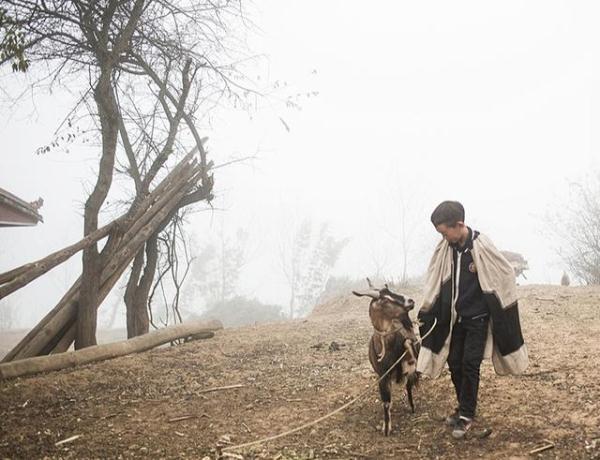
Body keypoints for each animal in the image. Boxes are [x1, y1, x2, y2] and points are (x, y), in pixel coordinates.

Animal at [354, 278, 420, 436]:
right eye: (384, 299)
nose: (410, 301)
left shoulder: (407, 366)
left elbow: (407, 385)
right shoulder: (382, 376)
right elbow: (386, 401)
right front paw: (386, 428)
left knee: (408, 385)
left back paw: (411, 406)